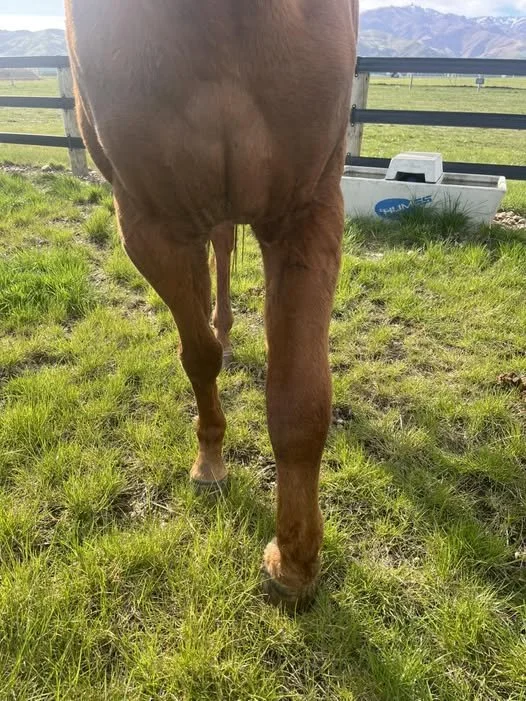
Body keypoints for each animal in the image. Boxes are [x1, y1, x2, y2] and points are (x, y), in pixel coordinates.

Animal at [65, 0, 359, 610]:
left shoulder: (306, 210)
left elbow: (301, 401)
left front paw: (293, 562)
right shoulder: (150, 225)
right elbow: (198, 356)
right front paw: (210, 463)